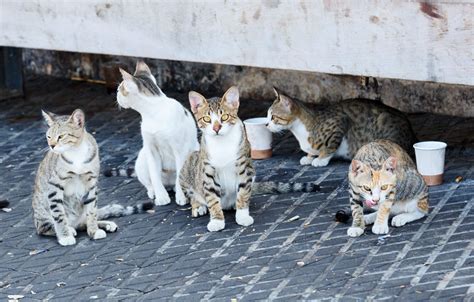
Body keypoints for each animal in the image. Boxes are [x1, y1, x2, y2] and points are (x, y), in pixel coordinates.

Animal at [32, 109, 152, 247]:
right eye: (48, 137)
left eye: (61, 136)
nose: (51, 146)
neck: (76, 153)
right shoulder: (54, 185)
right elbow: (59, 215)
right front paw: (65, 236)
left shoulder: (91, 183)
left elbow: (92, 210)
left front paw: (94, 231)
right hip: (42, 214)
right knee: (45, 227)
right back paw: (69, 229)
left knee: (83, 222)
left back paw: (104, 225)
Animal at [118, 61, 200, 205]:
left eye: (120, 89)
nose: (116, 94)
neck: (153, 112)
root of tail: (169, 183)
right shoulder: (151, 149)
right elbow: (154, 175)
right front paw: (161, 197)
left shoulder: (180, 149)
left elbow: (180, 174)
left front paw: (181, 197)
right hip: (142, 158)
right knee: (149, 183)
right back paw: (153, 192)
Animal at [180, 86, 320, 232]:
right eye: (207, 119)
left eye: (224, 117)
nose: (216, 128)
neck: (222, 143)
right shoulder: (208, 172)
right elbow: (212, 198)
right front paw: (217, 220)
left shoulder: (244, 167)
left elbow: (243, 193)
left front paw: (242, 215)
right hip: (188, 164)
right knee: (192, 193)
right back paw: (198, 205)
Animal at [264, 87, 416, 168]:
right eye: (267, 116)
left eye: (273, 117)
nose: (266, 124)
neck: (299, 131)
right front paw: (309, 156)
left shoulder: (339, 123)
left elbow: (330, 146)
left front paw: (321, 159)